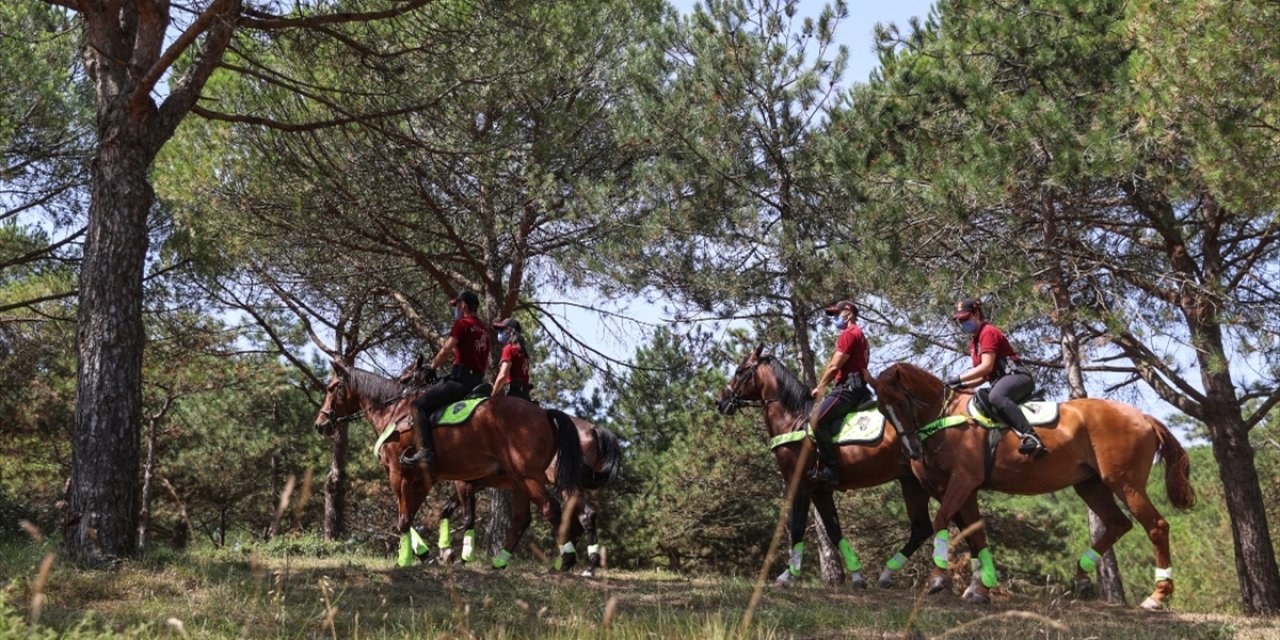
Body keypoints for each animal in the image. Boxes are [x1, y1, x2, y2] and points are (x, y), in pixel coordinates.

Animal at [312, 360, 586, 570]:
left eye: (331, 388)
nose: (320, 424)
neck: (395, 412)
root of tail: (544, 413)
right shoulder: (423, 479)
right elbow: (411, 516)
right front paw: (427, 553)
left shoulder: (398, 474)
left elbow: (404, 517)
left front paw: (408, 558)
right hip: (518, 481)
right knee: (522, 519)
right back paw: (501, 561)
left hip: (527, 476)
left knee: (551, 509)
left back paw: (566, 559)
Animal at [396, 355, 622, 576]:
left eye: (405, 378)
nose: (401, 401)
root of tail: (592, 429)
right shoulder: (475, 483)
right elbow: (447, 510)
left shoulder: (464, 482)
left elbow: (464, 516)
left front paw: (457, 556)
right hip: (550, 483)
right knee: (580, 516)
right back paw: (581, 565)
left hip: (543, 480)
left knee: (563, 514)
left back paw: (571, 561)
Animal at [716, 348, 957, 586]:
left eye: (739, 371)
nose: (721, 401)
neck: (794, 420)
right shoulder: (820, 491)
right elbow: (834, 530)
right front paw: (857, 575)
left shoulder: (800, 485)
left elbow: (798, 527)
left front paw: (788, 575)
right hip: (911, 482)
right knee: (922, 528)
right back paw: (889, 573)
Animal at [875, 360, 1192, 609]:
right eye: (882, 410)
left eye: (903, 402)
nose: (911, 451)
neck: (946, 417)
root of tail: (1143, 416)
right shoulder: (963, 488)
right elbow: (975, 534)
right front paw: (981, 589)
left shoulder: (963, 480)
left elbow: (943, 520)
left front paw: (939, 578)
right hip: (1091, 485)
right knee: (1118, 523)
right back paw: (1081, 575)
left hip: (1125, 482)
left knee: (1156, 526)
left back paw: (1157, 596)